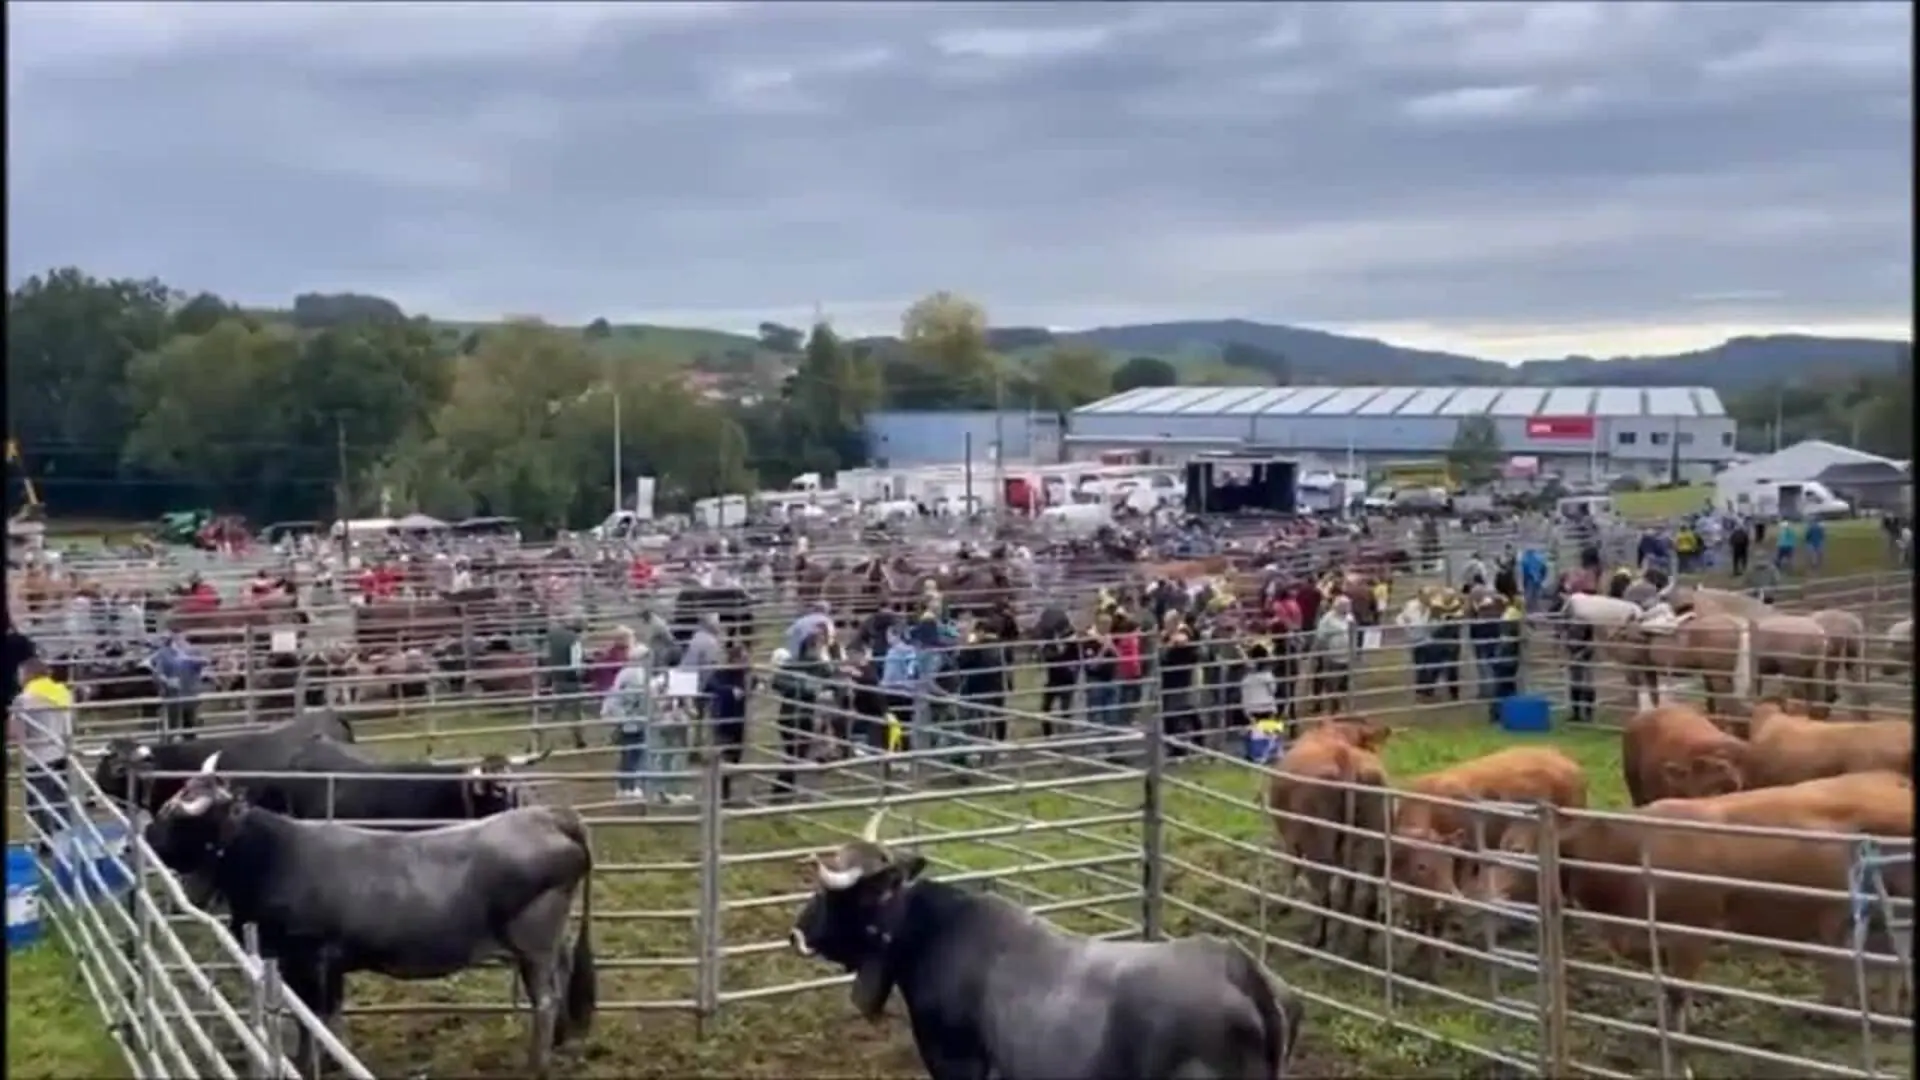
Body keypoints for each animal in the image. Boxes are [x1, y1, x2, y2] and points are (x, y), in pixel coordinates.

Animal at [146, 772, 595, 1076]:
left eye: (181, 816)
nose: (148, 835)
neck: (276, 856)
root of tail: (549, 816)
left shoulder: (310, 961)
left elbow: (314, 1019)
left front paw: (311, 1064)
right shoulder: (319, 967)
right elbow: (326, 1019)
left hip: (533, 945)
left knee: (546, 1000)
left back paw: (537, 1064)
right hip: (551, 943)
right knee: (562, 980)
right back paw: (562, 1043)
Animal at [1259, 714, 1397, 949]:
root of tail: (1343, 755)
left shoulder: (1289, 837)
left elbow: (1292, 866)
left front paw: (1285, 904)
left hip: (1318, 843)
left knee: (1324, 891)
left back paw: (1318, 938)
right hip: (1375, 841)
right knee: (1367, 890)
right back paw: (1364, 939)